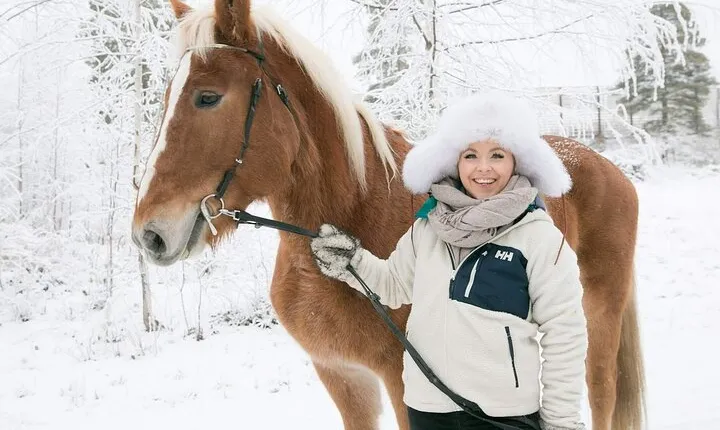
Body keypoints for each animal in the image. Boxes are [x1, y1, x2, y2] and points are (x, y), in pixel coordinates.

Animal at [131, 1, 645, 429]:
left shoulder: (404, 384)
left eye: (208, 97)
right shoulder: (343, 377)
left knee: (600, 392)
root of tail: (607, 167)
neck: (358, 211)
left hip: (598, 314)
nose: (148, 235)